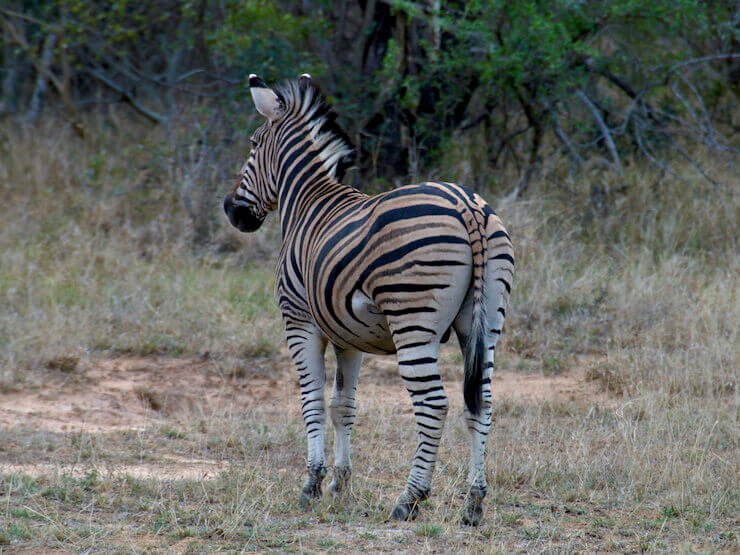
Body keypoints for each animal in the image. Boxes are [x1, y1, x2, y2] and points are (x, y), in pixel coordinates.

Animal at [223, 74, 514, 526]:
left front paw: (311, 486)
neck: (308, 202)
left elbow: (312, 402)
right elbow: (343, 405)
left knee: (434, 405)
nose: (230, 211)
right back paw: (473, 503)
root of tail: (466, 205)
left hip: (413, 322)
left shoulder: (299, 323)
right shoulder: (347, 336)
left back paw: (409, 499)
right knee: (480, 403)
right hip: (485, 323)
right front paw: (340, 485)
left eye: (254, 143)